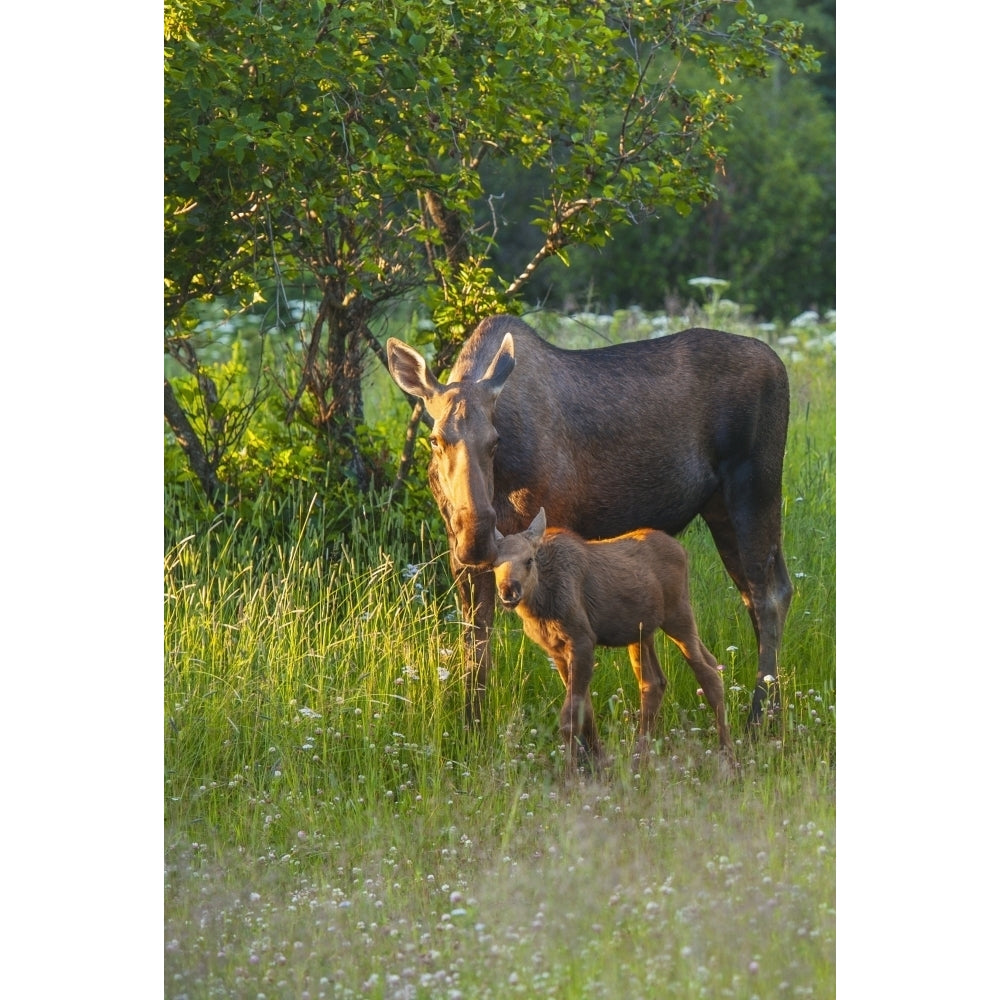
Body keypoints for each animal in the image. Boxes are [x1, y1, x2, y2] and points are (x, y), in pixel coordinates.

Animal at [386, 312, 792, 728]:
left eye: (495, 440)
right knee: (757, 591)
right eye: (435, 439)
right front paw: (473, 726)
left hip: (755, 484)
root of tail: (779, 364)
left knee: (769, 593)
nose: (476, 534)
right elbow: (476, 643)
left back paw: (759, 717)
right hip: (717, 506)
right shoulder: (463, 559)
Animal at [492, 508, 736, 772]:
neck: (539, 605)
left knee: (707, 674)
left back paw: (728, 755)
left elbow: (570, 717)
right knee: (659, 680)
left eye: (529, 560)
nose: (509, 590)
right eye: (494, 564)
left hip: (678, 615)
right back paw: (640, 757)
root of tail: (683, 551)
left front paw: (571, 775)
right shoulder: (556, 650)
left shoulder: (582, 640)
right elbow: (586, 709)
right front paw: (599, 763)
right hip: (642, 632)